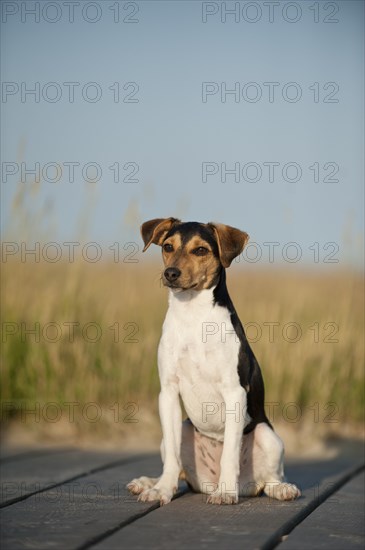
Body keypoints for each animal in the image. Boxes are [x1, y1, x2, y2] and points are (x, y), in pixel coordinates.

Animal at [126, 220, 300, 508]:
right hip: (182, 429)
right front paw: (161, 491)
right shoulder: (168, 392)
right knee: (178, 466)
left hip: (268, 435)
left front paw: (226, 493)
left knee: (271, 479)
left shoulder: (234, 393)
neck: (192, 316)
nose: (170, 273)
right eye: (167, 247)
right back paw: (147, 482)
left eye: (200, 250)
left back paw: (280, 489)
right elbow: (172, 458)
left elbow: (229, 453)